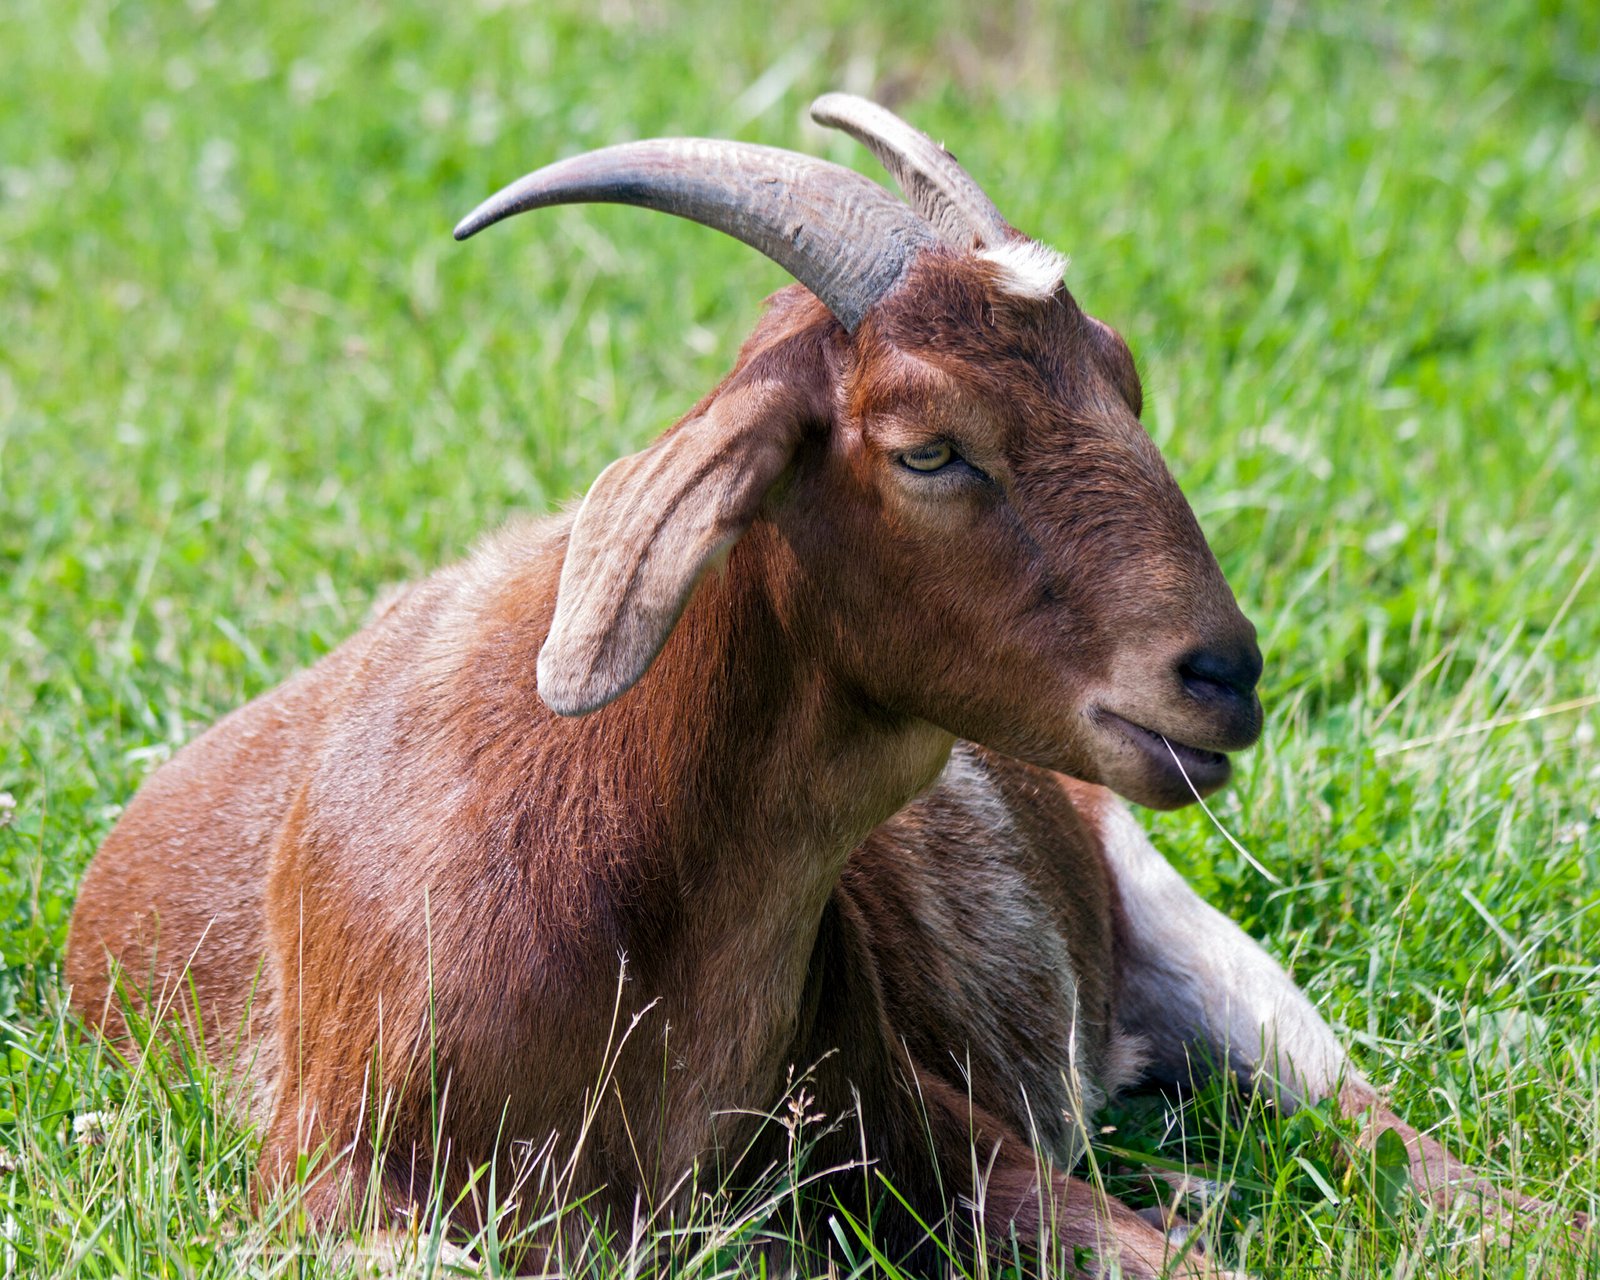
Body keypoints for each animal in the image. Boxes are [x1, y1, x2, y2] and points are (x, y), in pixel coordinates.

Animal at [65, 97, 1574, 1267]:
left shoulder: (934, 1128)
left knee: (1374, 1129)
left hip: (1199, 943)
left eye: (1122, 375)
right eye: (928, 447)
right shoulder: (334, 1188)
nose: (1221, 674)